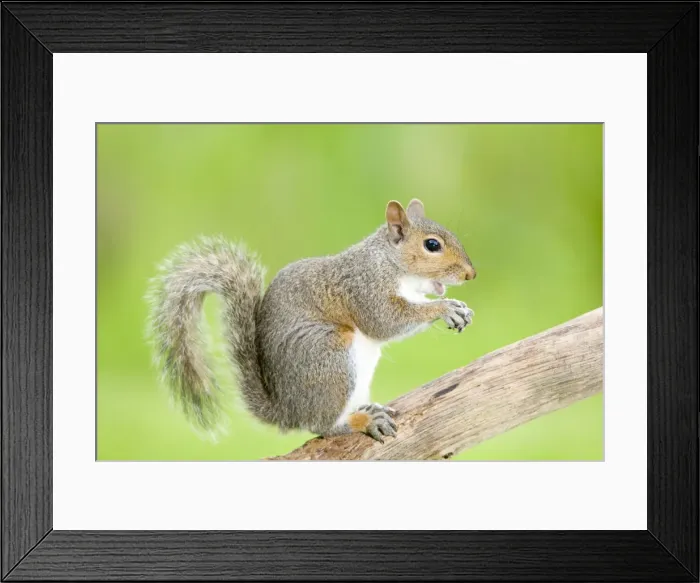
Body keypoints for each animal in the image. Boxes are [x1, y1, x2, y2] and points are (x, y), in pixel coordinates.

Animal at [146, 199, 476, 442]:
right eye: (432, 245)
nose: (471, 274)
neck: (390, 262)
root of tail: (288, 411)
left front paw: (457, 304)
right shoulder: (364, 288)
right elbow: (385, 321)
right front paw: (445, 308)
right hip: (330, 355)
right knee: (321, 427)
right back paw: (361, 422)